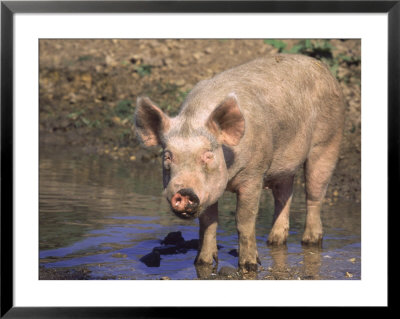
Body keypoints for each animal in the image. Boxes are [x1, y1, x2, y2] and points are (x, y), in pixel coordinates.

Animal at [134, 54, 344, 272]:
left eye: (208, 155)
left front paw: (250, 265)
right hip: (283, 165)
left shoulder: (254, 173)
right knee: (284, 195)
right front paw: (202, 263)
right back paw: (274, 241)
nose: (184, 192)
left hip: (329, 139)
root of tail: (320, 66)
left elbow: (244, 220)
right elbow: (208, 223)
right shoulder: (210, 189)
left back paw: (310, 241)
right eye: (168, 156)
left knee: (314, 194)